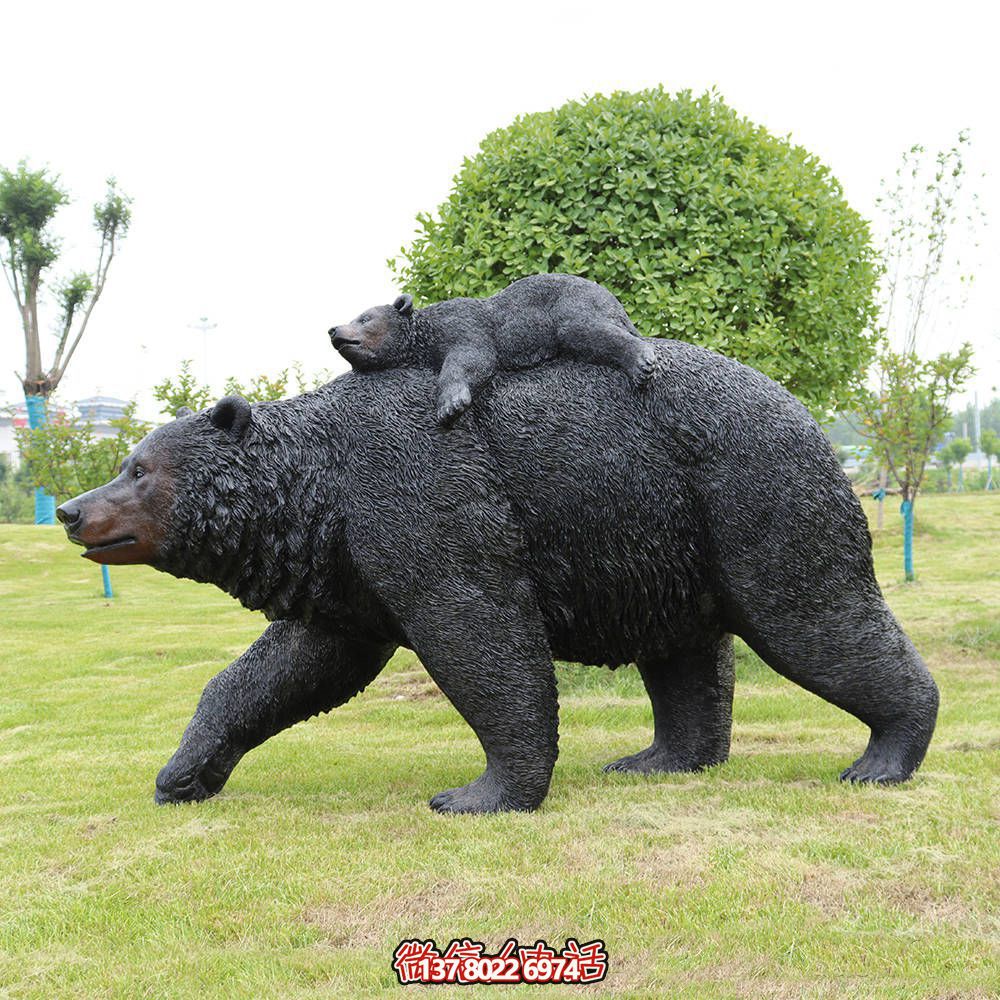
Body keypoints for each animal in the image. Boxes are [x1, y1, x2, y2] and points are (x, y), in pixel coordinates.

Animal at [55, 340, 939, 814]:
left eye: (137, 469)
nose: (69, 509)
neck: (317, 492)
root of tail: (814, 419)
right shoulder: (343, 573)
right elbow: (291, 665)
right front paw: (182, 774)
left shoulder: (423, 496)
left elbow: (479, 632)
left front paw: (479, 793)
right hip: (665, 538)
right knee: (685, 650)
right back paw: (658, 759)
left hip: (754, 496)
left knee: (812, 615)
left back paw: (882, 757)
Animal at [328, 273, 657, 425]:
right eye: (355, 316)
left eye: (364, 318)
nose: (334, 330)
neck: (425, 334)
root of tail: (613, 299)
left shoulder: (463, 324)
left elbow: (474, 357)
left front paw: (450, 404)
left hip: (572, 301)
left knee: (583, 328)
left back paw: (641, 363)